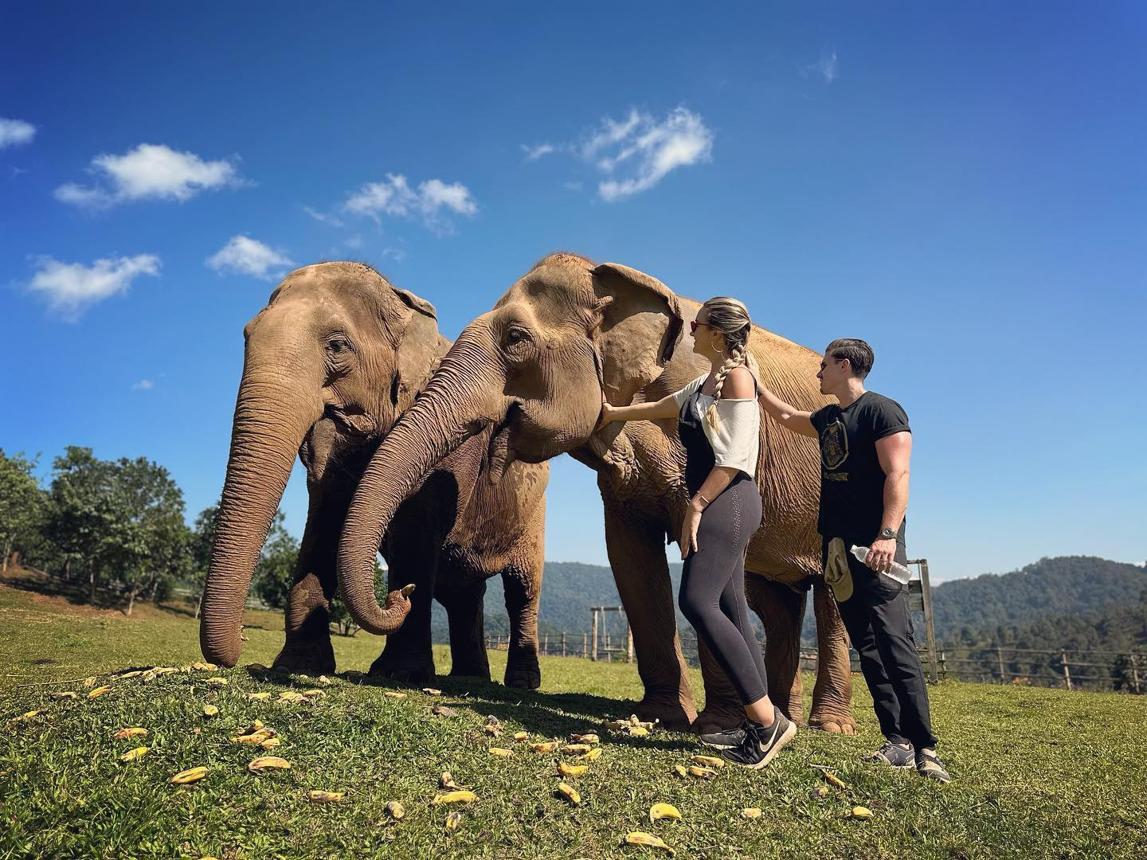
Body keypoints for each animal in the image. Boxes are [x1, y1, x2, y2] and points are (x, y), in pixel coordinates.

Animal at [199, 261, 550, 689]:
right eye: (247, 335)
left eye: (337, 346)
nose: (242, 646)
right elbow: (323, 521)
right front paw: (298, 665)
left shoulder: (458, 440)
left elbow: (417, 526)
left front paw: (399, 673)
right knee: (460, 592)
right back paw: (470, 678)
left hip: (533, 517)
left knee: (522, 590)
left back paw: (520, 681)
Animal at [337, 252, 857, 734]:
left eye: (516, 338)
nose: (400, 592)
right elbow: (628, 556)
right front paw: (662, 716)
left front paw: (713, 725)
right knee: (773, 600)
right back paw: (786, 715)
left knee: (832, 595)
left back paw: (827, 726)